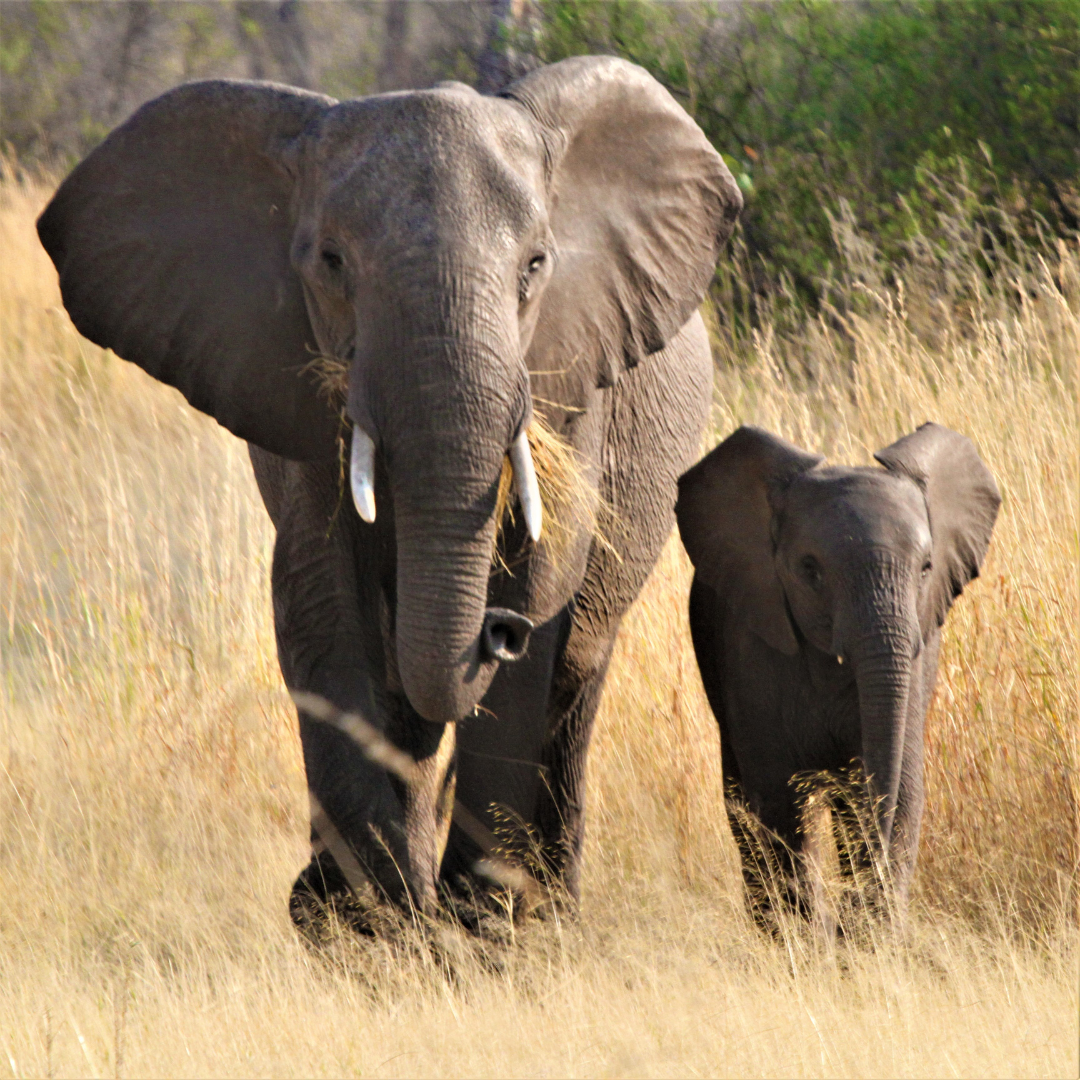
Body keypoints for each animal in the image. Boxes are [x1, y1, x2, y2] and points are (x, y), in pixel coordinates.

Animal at [37, 56, 743, 926]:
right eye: (332, 263)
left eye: (536, 266)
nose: (497, 631)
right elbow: (323, 601)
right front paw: (370, 929)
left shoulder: (571, 377)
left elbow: (543, 581)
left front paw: (482, 928)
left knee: (575, 677)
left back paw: (545, 913)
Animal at [675, 423, 999, 929]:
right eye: (810, 570)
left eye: (926, 568)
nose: (846, 916)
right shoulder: (752, 649)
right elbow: (778, 798)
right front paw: (808, 939)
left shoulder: (917, 658)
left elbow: (900, 790)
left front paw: (867, 937)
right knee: (740, 799)